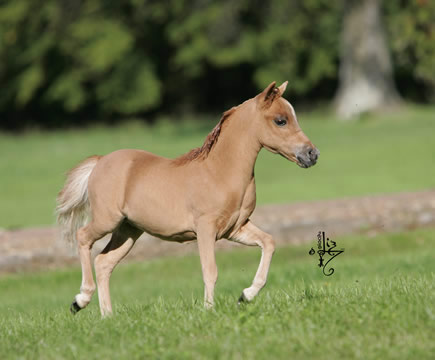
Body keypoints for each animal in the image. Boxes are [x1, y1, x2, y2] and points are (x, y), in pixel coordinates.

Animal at [56, 81, 320, 316]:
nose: (312, 154)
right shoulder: (205, 229)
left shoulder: (235, 228)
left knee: (104, 262)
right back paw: (80, 300)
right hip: (107, 220)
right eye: (280, 120)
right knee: (83, 237)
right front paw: (209, 311)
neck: (220, 171)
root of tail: (100, 161)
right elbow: (210, 270)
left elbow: (269, 242)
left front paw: (246, 296)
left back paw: (107, 316)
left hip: (129, 230)